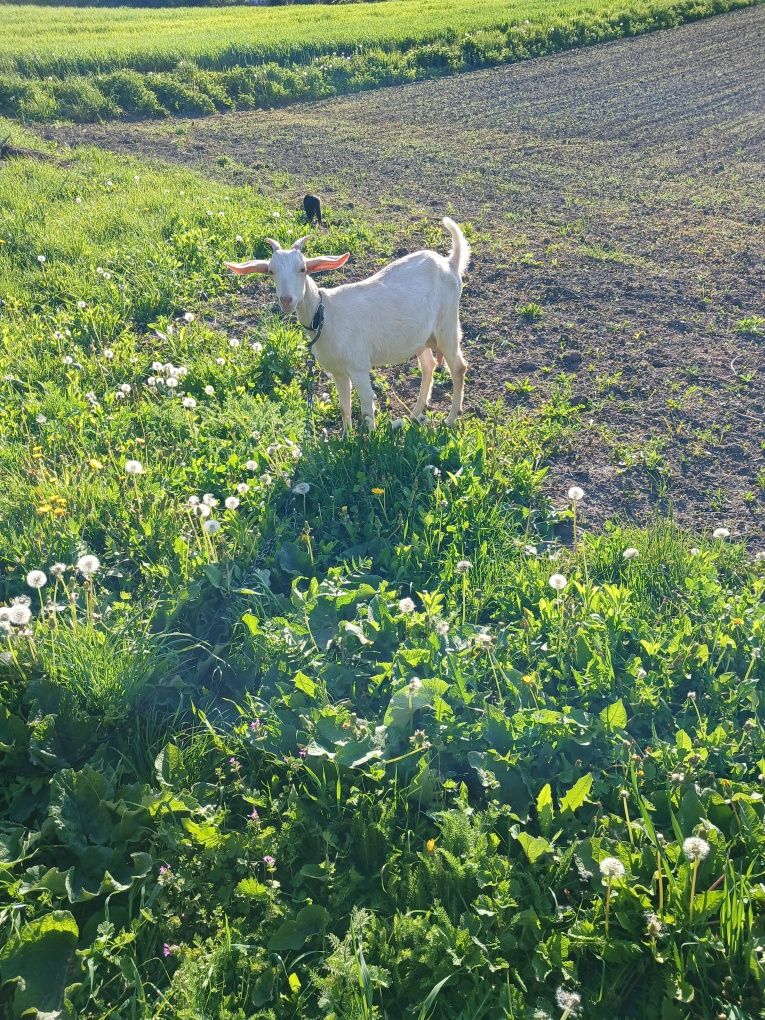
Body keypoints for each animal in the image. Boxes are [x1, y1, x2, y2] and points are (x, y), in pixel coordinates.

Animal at [224, 219, 471, 430]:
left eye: (303, 269)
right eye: (271, 271)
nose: (286, 300)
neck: (325, 315)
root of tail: (450, 263)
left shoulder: (359, 366)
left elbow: (367, 409)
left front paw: (369, 440)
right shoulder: (337, 371)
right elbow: (345, 407)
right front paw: (346, 436)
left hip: (448, 324)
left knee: (459, 367)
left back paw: (450, 419)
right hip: (422, 337)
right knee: (429, 366)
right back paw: (413, 415)